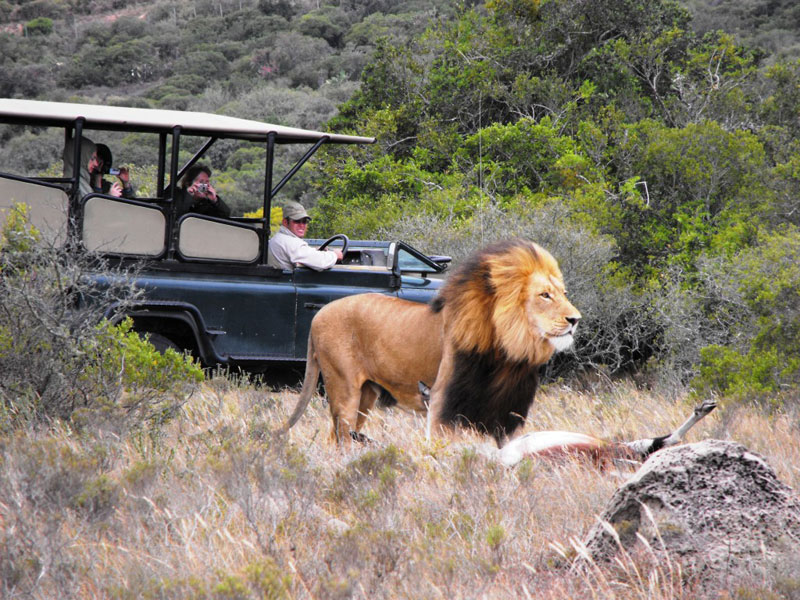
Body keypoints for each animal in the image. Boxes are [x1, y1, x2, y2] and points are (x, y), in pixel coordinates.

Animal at [282, 239, 580, 446]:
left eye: (564, 293)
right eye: (544, 295)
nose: (576, 319)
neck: (505, 355)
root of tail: (319, 314)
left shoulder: (506, 413)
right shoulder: (442, 404)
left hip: (366, 394)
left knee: (337, 437)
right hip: (343, 387)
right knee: (342, 437)